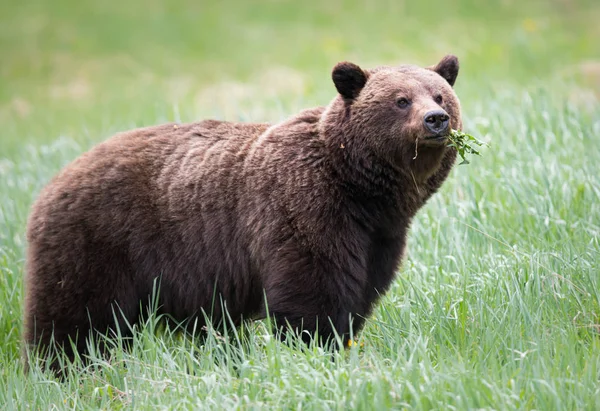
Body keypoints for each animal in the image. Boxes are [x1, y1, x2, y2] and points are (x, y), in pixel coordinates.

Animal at [23, 54, 462, 370]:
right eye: (401, 100)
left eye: (440, 95)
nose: (435, 120)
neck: (360, 189)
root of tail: (52, 182)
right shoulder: (304, 208)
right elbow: (312, 292)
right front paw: (315, 349)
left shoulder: (379, 236)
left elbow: (362, 292)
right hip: (99, 241)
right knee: (76, 320)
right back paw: (60, 370)